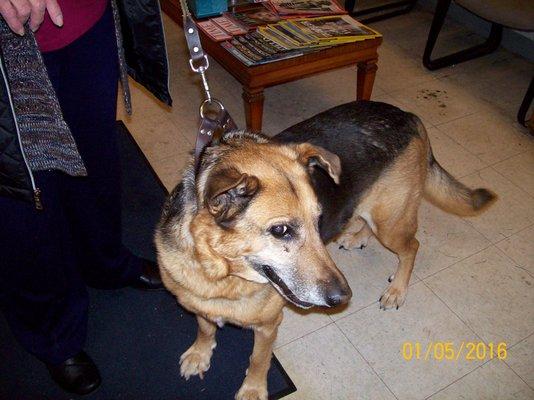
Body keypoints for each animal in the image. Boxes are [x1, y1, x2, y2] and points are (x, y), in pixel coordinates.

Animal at [155, 101, 498, 400]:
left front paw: (253, 391)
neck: (220, 273)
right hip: (375, 210)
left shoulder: (267, 328)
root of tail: (407, 115)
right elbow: (205, 328)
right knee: (366, 219)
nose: (343, 298)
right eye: (281, 231)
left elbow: (258, 361)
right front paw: (200, 353)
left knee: (412, 246)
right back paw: (358, 236)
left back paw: (397, 290)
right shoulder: (199, 306)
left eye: (317, 220)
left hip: (391, 221)